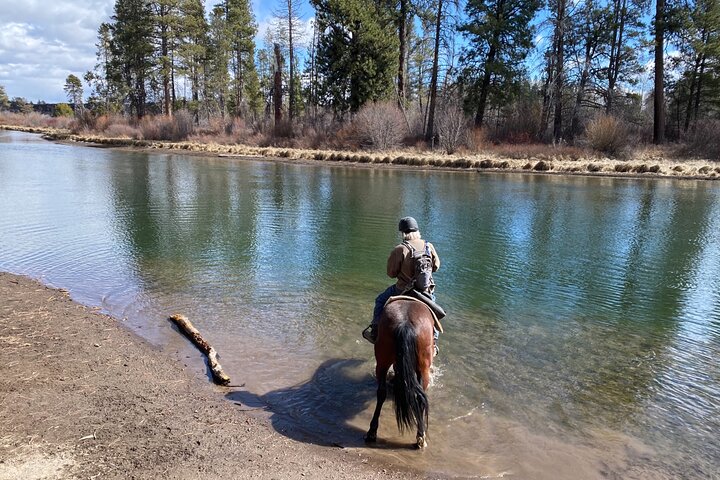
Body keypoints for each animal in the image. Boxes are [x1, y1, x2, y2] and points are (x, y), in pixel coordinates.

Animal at [365, 297, 435, 449]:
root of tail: (405, 323)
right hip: (423, 368)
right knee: (419, 397)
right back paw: (420, 437)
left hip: (383, 360)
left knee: (382, 392)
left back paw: (372, 431)